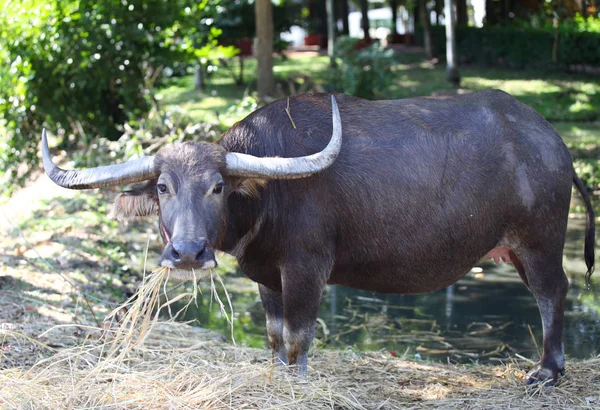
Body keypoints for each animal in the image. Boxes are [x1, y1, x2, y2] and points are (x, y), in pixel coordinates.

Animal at [42, 89, 596, 384]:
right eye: (162, 187)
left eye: (217, 186)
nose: (188, 253)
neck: (268, 195)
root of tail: (551, 141)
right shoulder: (265, 275)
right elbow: (272, 335)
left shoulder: (307, 268)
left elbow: (298, 336)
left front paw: (298, 379)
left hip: (540, 242)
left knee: (553, 295)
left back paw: (548, 370)